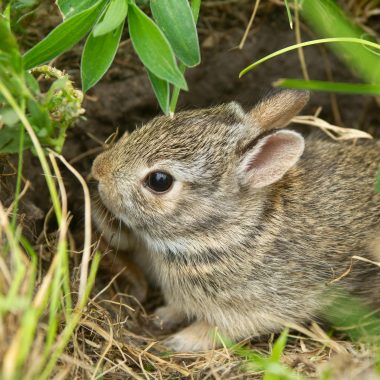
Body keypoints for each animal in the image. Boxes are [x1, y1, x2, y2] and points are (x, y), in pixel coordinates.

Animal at [91, 90, 380, 352]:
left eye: (159, 181)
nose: (98, 170)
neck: (232, 232)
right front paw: (163, 316)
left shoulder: (260, 307)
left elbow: (215, 329)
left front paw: (178, 341)